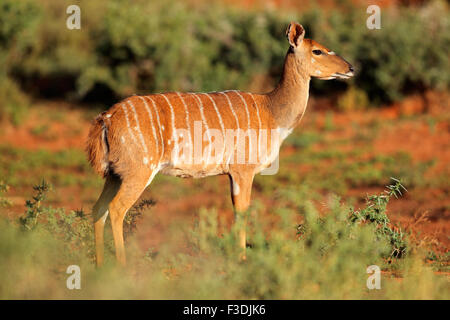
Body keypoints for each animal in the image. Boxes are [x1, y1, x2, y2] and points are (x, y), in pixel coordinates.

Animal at [87, 20, 356, 264]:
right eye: (318, 50)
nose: (351, 67)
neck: (271, 111)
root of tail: (106, 118)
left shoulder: (231, 173)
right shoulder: (243, 170)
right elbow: (241, 211)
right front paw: (241, 260)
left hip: (115, 174)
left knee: (98, 209)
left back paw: (100, 268)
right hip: (138, 171)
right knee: (116, 209)